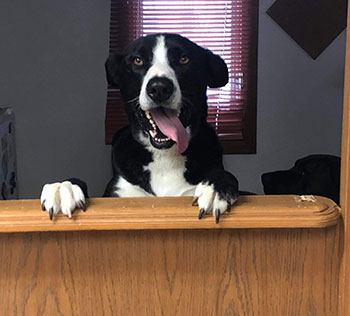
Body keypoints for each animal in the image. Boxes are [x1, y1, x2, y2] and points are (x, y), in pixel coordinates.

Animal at [39, 33, 239, 223]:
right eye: (137, 60)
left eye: (184, 59)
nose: (159, 88)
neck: (164, 156)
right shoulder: (115, 195)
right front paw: (63, 187)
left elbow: (227, 176)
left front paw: (216, 186)